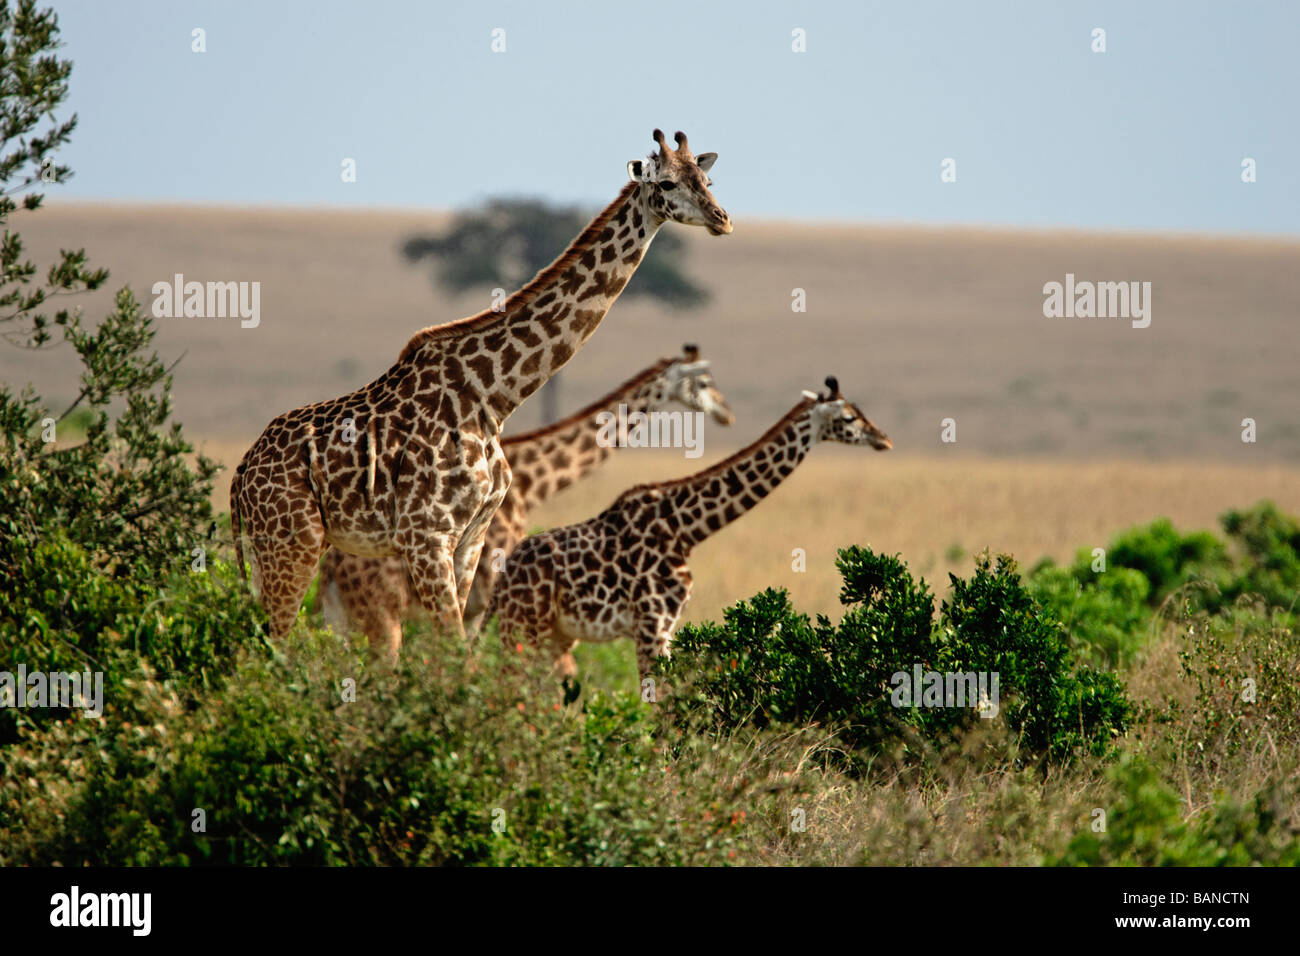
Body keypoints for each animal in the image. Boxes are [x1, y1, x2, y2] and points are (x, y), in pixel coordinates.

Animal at [315, 343, 738, 665]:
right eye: (704, 381)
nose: (727, 413)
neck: (532, 485)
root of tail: (330, 573)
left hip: (342, 620)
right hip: (383, 618)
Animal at [488, 377, 894, 686]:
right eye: (849, 417)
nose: (885, 439)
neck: (686, 530)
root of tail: (502, 581)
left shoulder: (666, 628)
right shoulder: (651, 625)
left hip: (554, 635)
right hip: (523, 630)